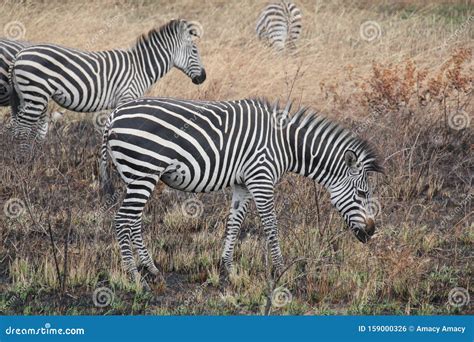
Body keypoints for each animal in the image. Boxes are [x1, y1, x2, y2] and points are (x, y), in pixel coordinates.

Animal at [9, 19, 206, 147]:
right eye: (195, 51)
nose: (203, 77)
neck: (141, 67)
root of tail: (20, 55)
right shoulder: (127, 96)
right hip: (35, 94)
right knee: (22, 129)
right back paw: (23, 160)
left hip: (27, 96)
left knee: (19, 126)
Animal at [101, 96, 386, 288]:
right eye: (362, 194)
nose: (372, 232)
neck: (285, 145)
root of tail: (114, 115)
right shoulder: (261, 178)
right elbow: (270, 224)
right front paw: (280, 270)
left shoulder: (242, 183)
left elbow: (234, 223)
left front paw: (228, 267)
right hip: (144, 172)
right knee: (122, 220)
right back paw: (134, 276)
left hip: (137, 176)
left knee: (134, 221)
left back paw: (151, 269)